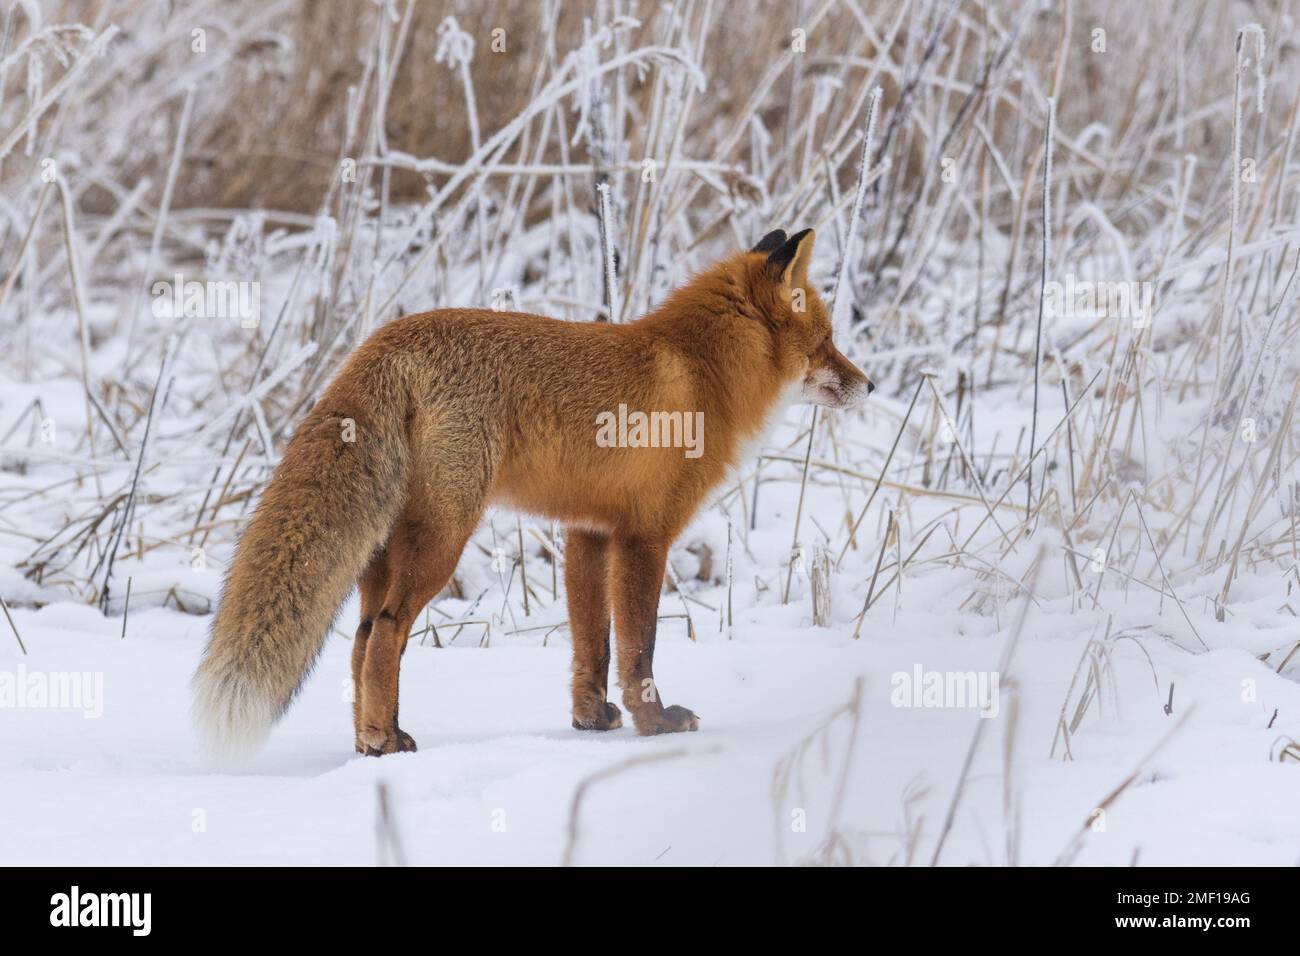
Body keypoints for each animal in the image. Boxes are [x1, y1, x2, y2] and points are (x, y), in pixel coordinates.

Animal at [193, 227, 873, 757]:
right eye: (827, 341)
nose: (869, 385)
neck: (700, 371)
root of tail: (382, 340)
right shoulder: (646, 535)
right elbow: (640, 650)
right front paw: (655, 724)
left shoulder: (589, 531)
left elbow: (592, 646)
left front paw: (591, 721)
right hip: (443, 540)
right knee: (387, 631)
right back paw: (385, 740)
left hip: (383, 550)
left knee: (361, 640)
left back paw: (370, 738)